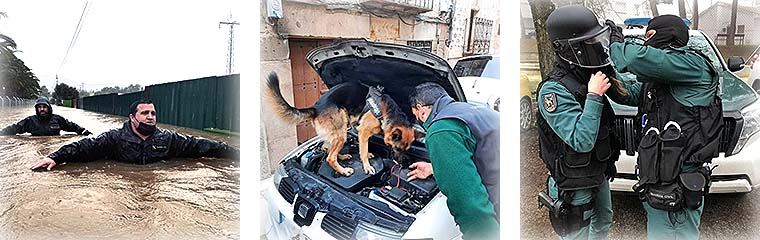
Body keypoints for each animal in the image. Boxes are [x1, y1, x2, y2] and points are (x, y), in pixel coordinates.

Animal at [262, 72, 416, 175]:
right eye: (398, 148)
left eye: (407, 149)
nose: (406, 163)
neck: (386, 112)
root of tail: (315, 108)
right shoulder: (363, 131)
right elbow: (363, 151)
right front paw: (367, 166)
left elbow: (363, 148)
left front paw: (368, 154)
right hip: (341, 129)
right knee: (330, 157)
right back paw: (343, 170)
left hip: (339, 131)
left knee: (327, 149)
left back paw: (341, 157)